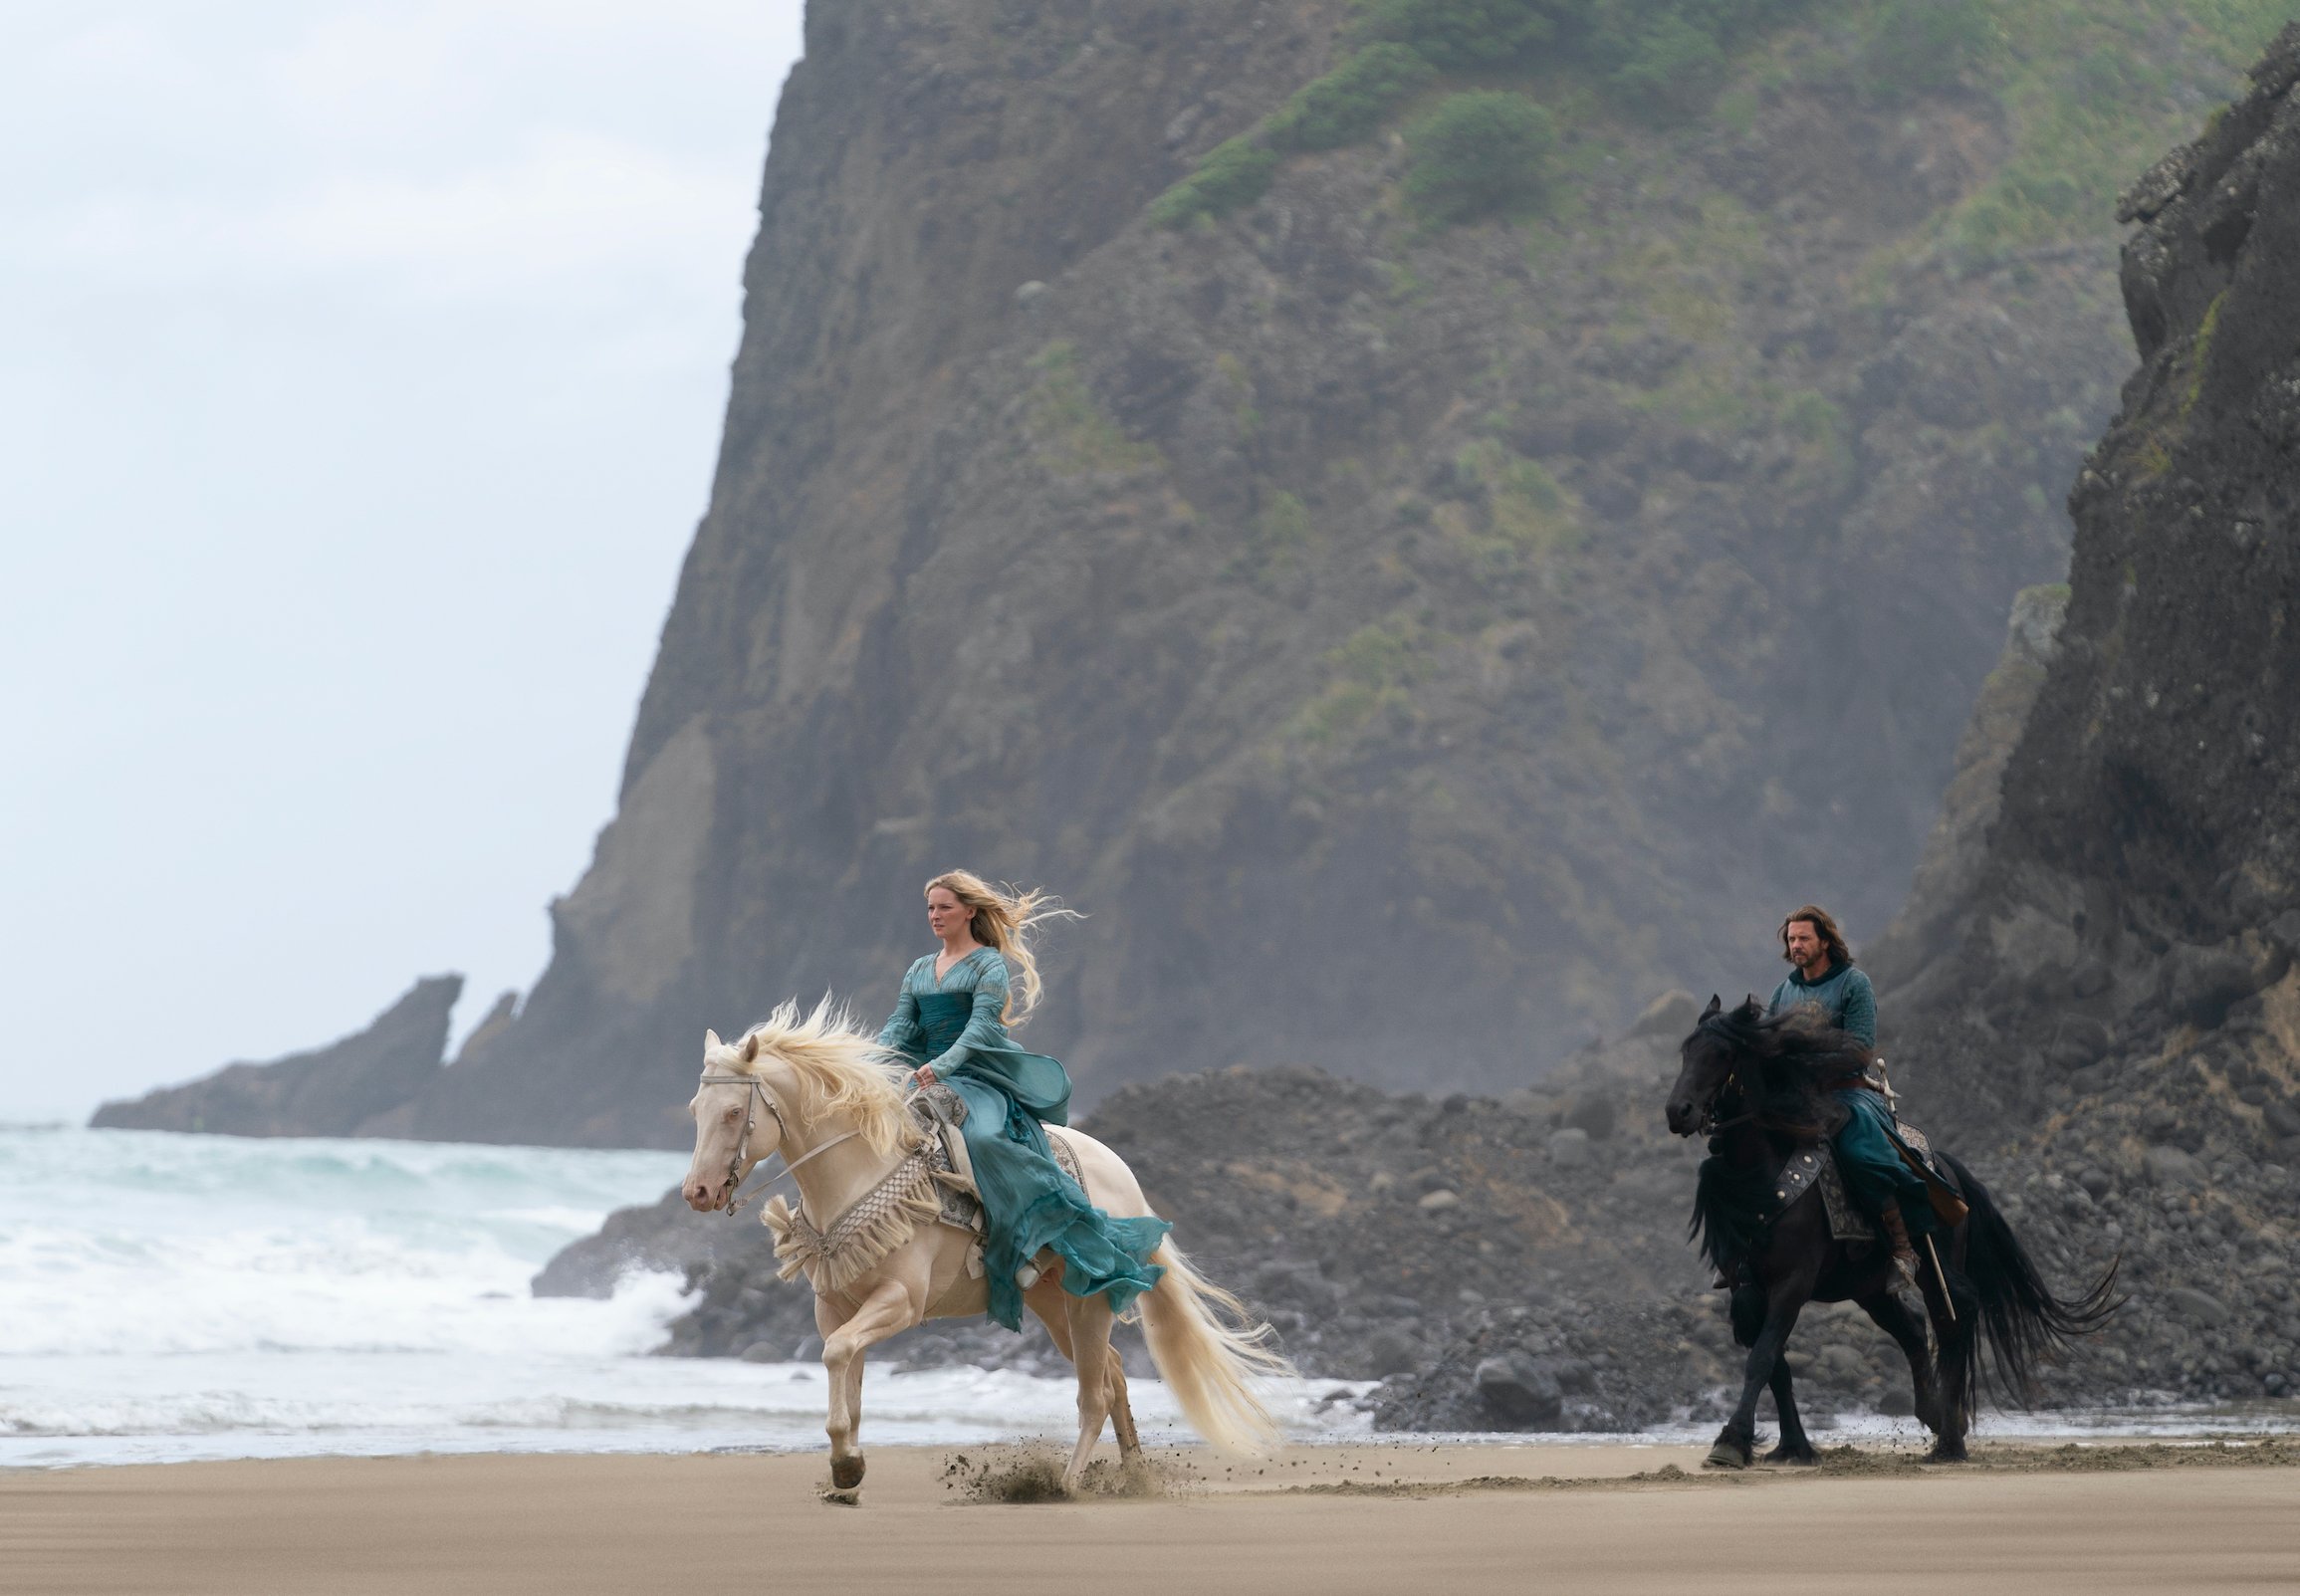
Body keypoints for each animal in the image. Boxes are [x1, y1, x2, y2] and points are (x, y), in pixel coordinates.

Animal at [680, 1007, 1296, 1508]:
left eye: (733, 1112)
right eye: (695, 1109)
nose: (698, 1193)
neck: (860, 1171)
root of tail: (1125, 1177)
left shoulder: (899, 1302)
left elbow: (836, 1357)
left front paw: (847, 1466)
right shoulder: (835, 1306)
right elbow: (846, 1380)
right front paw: (846, 1476)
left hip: (1088, 1301)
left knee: (1095, 1393)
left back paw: (1065, 1485)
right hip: (1052, 1303)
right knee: (1116, 1375)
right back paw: (1134, 1476)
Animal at [1656, 1003, 2116, 1472]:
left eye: (1721, 1054)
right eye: (1686, 1051)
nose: (1679, 1111)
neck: (1762, 1178)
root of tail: (1945, 1167)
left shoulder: (1792, 1283)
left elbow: (1763, 1357)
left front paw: (1731, 1442)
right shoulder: (1744, 1284)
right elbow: (1777, 1367)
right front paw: (1792, 1446)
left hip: (1933, 1270)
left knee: (1954, 1316)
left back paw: (1950, 1440)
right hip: (1868, 1286)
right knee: (1913, 1327)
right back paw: (1935, 1415)